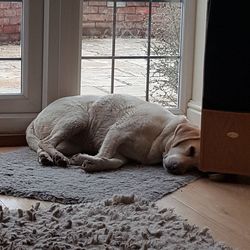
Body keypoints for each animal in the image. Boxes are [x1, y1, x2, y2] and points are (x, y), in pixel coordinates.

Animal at [25, 94, 201, 174]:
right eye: (191, 150)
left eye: (195, 168)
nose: (176, 170)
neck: (162, 133)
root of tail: (35, 118)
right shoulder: (117, 132)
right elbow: (104, 155)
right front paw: (87, 160)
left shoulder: (121, 154)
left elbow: (115, 162)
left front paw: (91, 163)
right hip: (78, 118)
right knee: (46, 142)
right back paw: (57, 157)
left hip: (70, 143)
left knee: (42, 145)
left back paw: (46, 157)